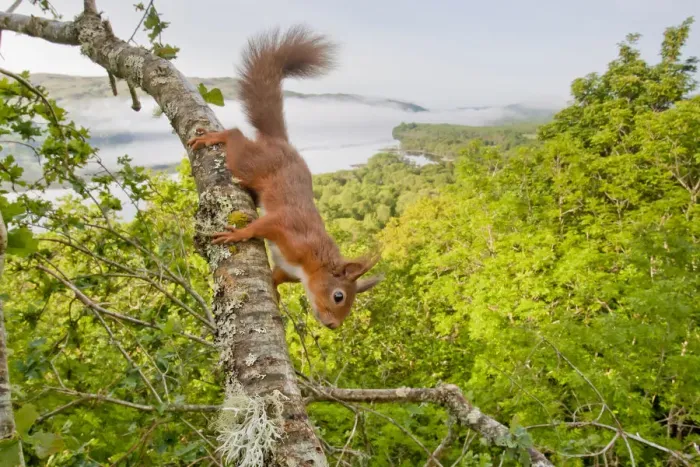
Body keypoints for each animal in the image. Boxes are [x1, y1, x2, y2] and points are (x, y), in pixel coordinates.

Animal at [187, 25, 383, 329]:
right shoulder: (287, 229)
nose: (333, 326)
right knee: (236, 136)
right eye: (339, 296)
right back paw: (216, 137)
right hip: (252, 163)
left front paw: (276, 293)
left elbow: (276, 278)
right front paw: (236, 234)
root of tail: (281, 142)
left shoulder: (285, 268)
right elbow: (259, 227)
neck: (312, 262)